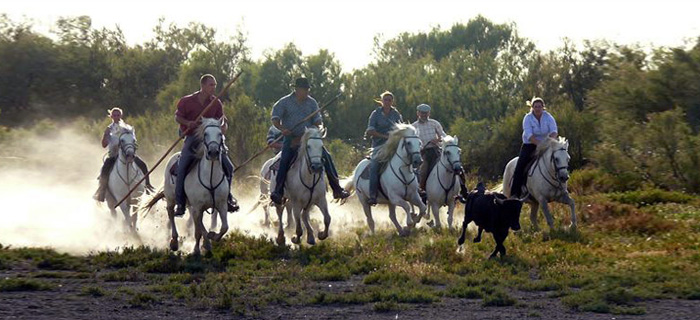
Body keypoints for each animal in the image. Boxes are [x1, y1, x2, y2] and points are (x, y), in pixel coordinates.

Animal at [139, 117, 230, 255]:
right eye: (205, 134)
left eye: (220, 134)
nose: (213, 152)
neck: (210, 179)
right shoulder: (197, 207)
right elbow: (198, 231)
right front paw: (196, 250)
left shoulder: (221, 205)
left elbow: (224, 227)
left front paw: (212, 237)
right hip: (172, 199)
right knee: (171, 213)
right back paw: (174, 242)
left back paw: (206, 242)